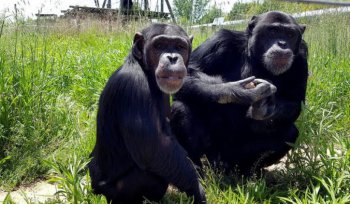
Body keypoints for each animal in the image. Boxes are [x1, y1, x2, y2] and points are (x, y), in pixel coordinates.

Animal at [87, 23, 206, 203]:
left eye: (180, 47)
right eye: (159, 46)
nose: (172, 57)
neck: (144, 69)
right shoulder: (134, 88)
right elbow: (154, 147)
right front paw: (198, 191)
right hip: (112, 194)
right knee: (151, 176)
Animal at [170, 10, 308, 174]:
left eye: (289, 34)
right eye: (273, 31)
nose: (282, 43)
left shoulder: (302, 57)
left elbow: (295, 102)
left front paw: (266, 106)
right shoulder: (220, 41)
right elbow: (185, 74)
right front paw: (236, 91)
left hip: (236, 158)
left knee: (290, 132)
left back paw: (249, 173)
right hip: (212, 154)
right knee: (181, 107)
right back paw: (196, 169)